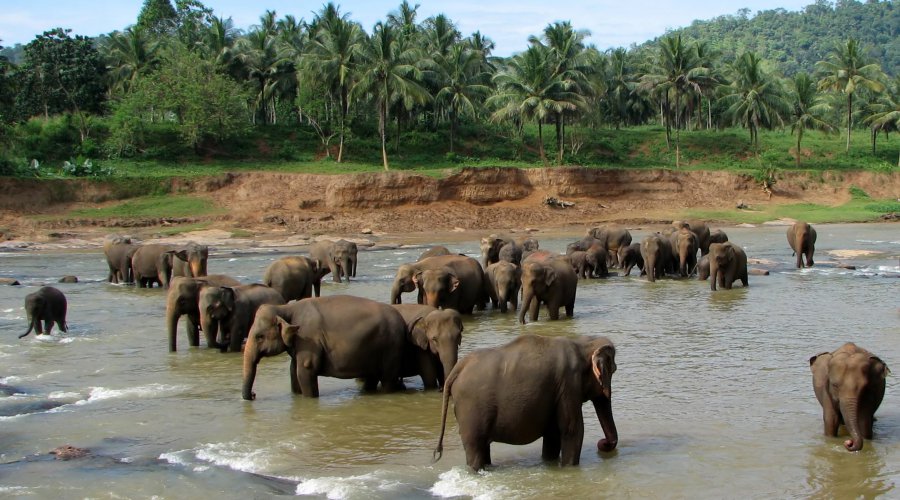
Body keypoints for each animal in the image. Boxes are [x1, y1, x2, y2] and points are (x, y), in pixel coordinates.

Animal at [242, 295, 407, 400]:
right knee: (372, 378)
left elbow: (305, 370)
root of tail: (401, 320)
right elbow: (293, 371)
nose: (254, 395)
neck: (286, 308)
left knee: (387, 379)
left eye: (259, 337)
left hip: (391, 347)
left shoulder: (308, 338)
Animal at [434, 335, 618, 471]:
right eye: (613, 370)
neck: (582, 343)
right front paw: (569, 468)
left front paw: (550, 465)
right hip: (471, 410)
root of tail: (458, 368)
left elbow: (553, 434)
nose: (602, 443)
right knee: (475, 448)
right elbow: (572, 430)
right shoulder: (569, 384)